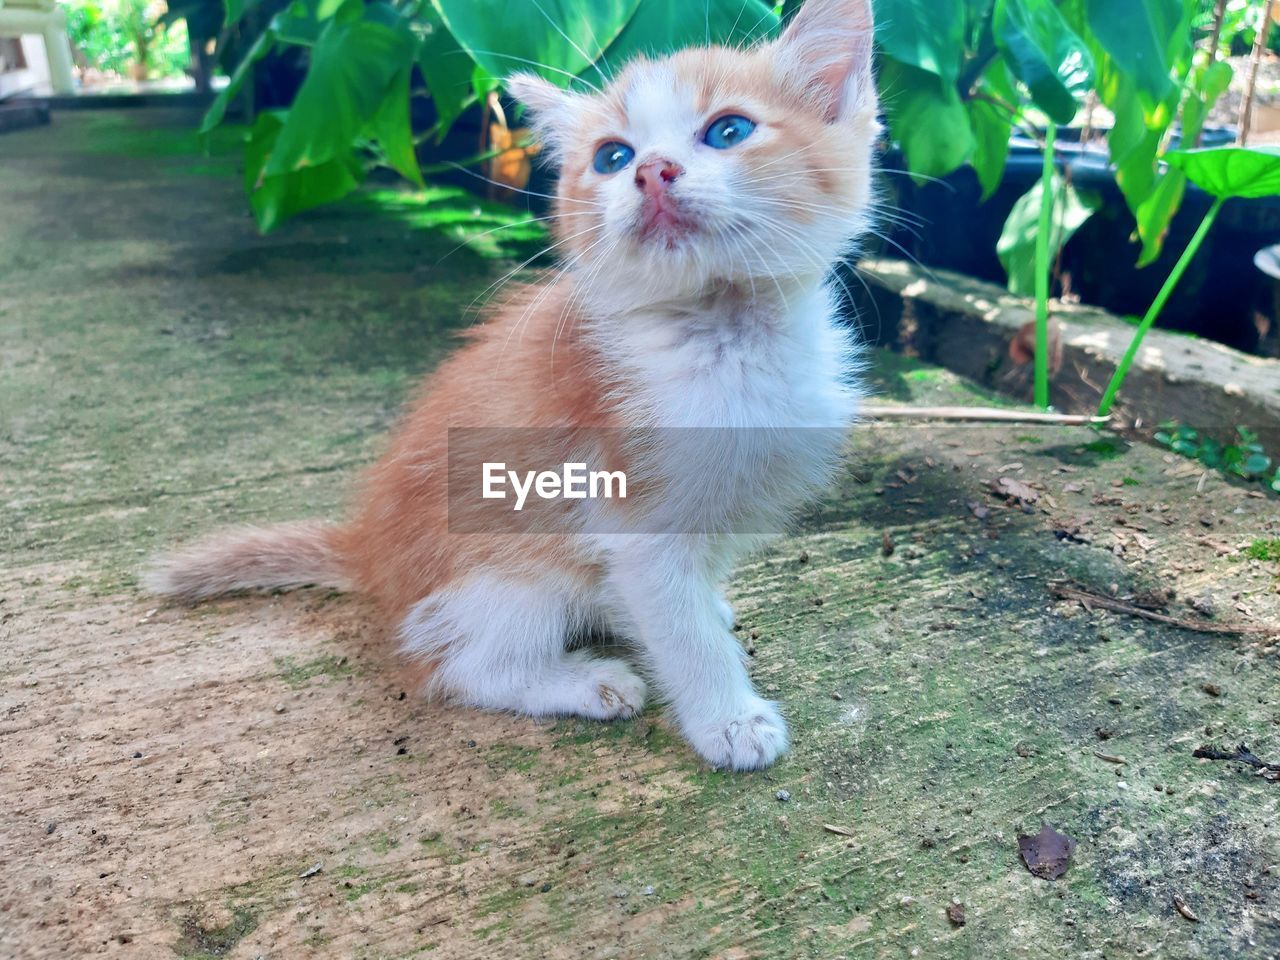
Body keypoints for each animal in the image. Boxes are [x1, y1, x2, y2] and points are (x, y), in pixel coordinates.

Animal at [145, 0, 875, 773]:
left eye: (729, 131)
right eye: (612, 157)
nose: (652, 170)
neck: (725, 334)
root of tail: (368, 555)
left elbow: (682, 594)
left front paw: (708, 614)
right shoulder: (628, 505)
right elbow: (677, 623)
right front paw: (727, 719)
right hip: (506, 574)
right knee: (458, 664)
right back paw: (582, 682)